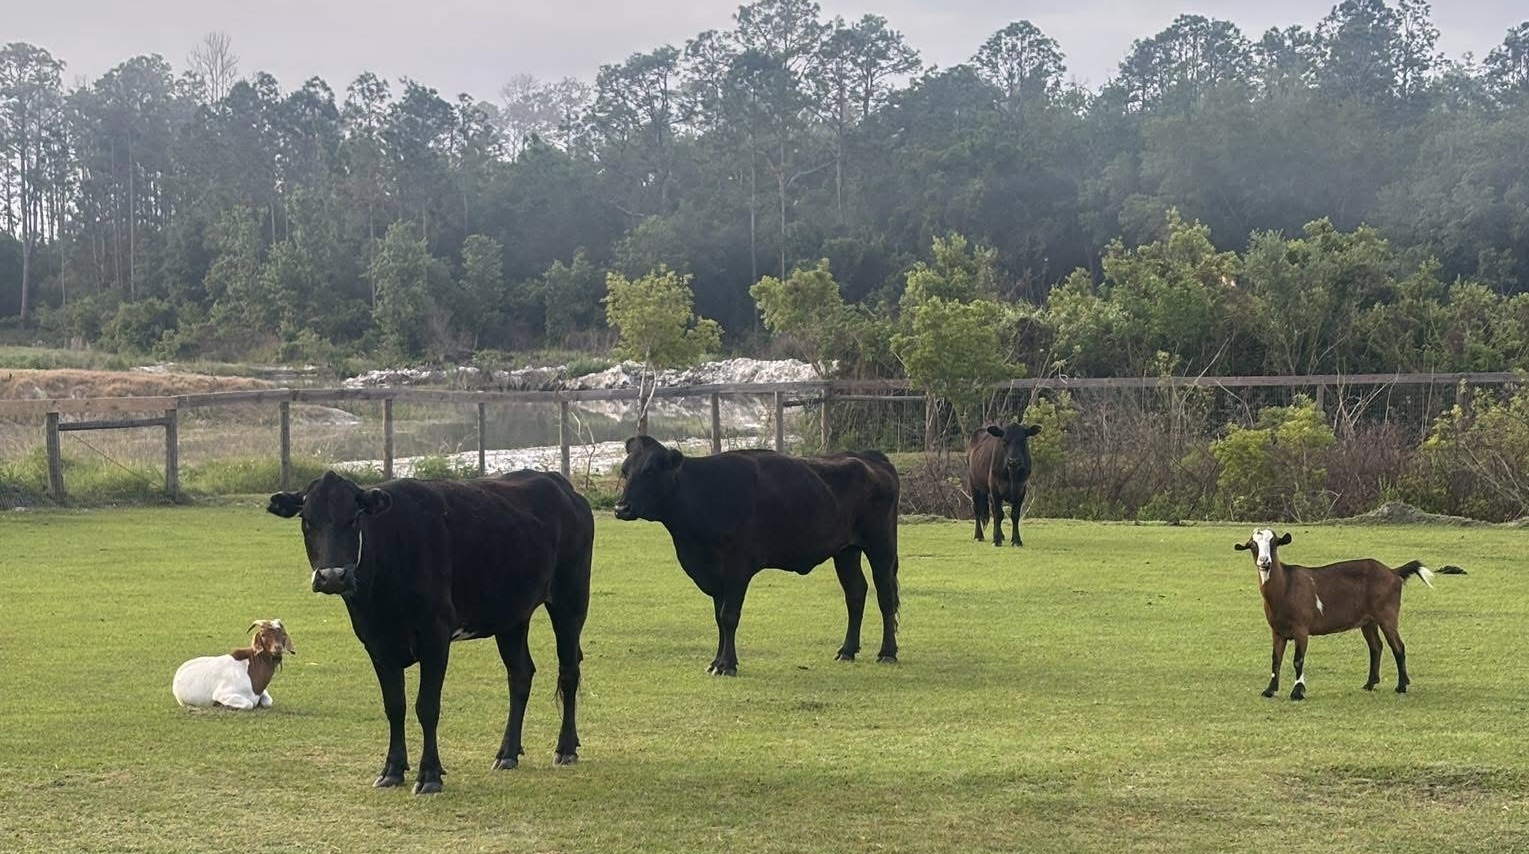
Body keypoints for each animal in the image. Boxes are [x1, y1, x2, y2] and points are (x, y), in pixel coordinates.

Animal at [267, 469, 593, 795]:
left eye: (354, 517)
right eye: (307, 520)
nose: (333, 576)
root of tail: (560, 484)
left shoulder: (435, 635)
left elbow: (427, 706)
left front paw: (430, 775)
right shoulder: (375, 642)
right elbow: (394, 706)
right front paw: (392, 770)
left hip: (570, 601)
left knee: (568, 672)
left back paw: (565, 748)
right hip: (512, 616)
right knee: (520, 674)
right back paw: (507, 753)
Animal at [613, 435, 900, 676]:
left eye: (650, 471)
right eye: (625, 471)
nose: (621, 508)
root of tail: (869, 457)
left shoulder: (737, 567)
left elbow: (729, 616)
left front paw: (727, 665)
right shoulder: (716, 574)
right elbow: (718, 618)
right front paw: (717, 661)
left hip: (881, 546)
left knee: (885, 596)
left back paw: (887, 653)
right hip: (846, 551)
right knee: (855, 593)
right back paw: (847, 650)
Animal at [1234, 529, 1433, 701]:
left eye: (1274, 543)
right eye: (1252, 545)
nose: (1264, 561)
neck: (1286, 586)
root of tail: (1393, 571)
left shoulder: (1301, 628)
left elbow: (1298, 660)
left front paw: (1298, 691)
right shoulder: (1277, 630)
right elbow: (1276, 659)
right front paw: (1270, 690)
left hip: (1387, 614)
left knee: (1398, 646)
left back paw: (1401, 686)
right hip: (1368, 621)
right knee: (1376, 647)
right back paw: (1370, 684)